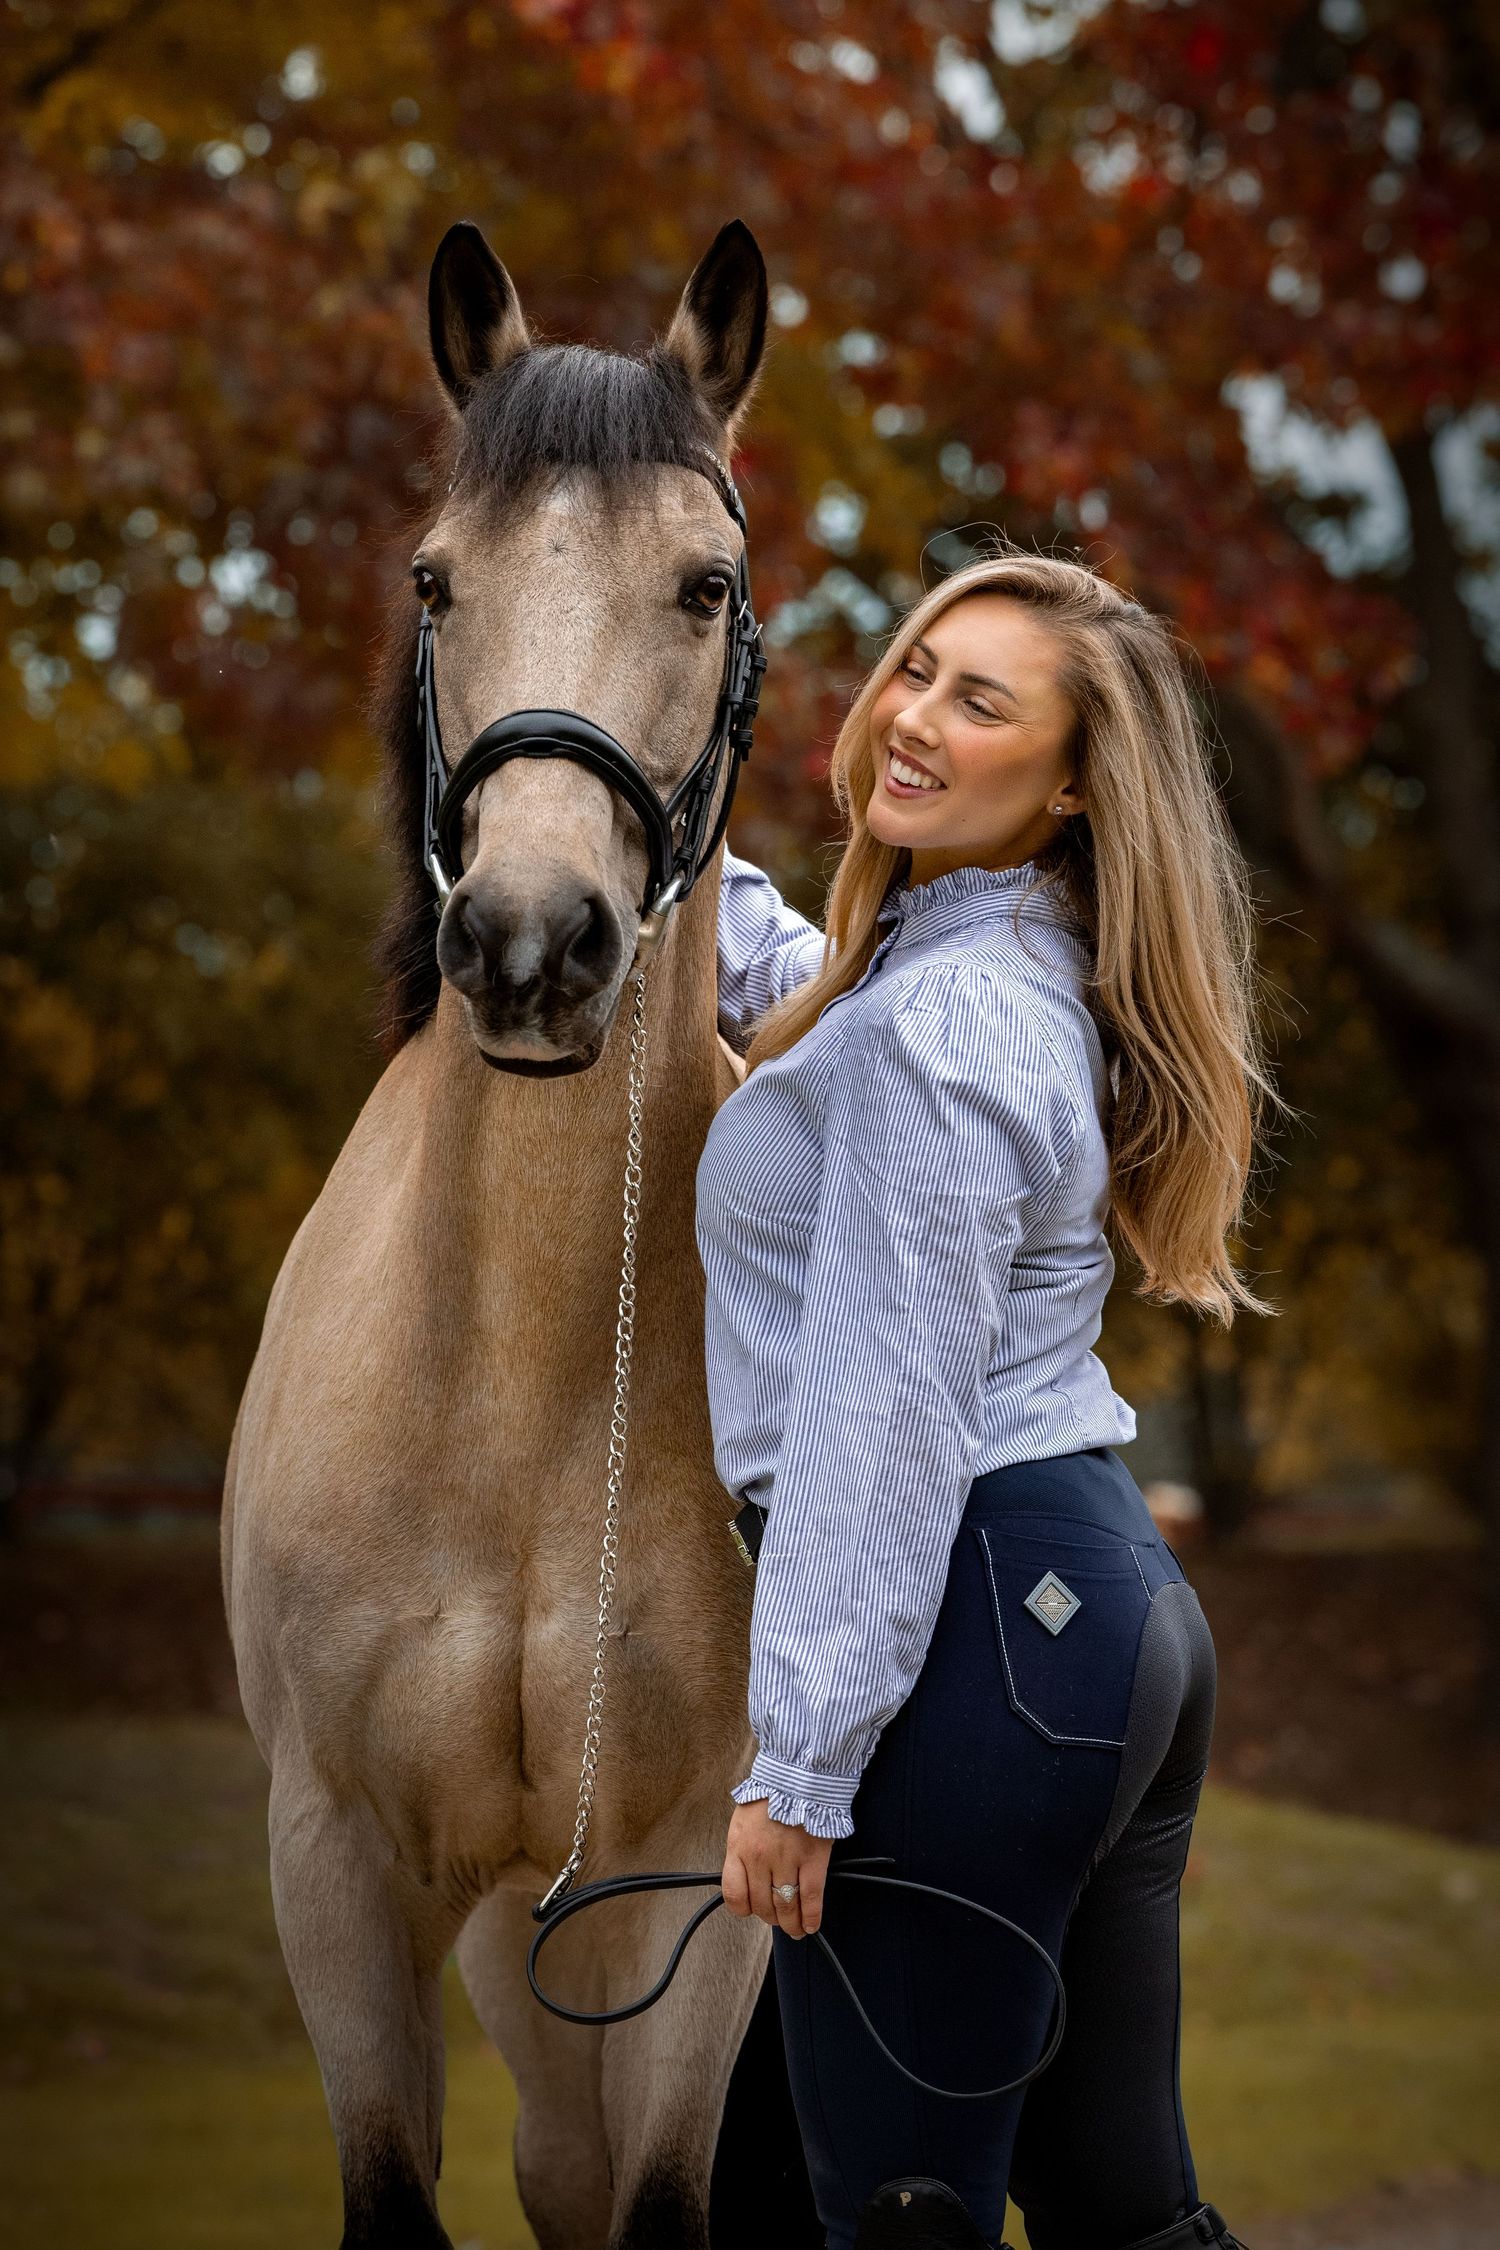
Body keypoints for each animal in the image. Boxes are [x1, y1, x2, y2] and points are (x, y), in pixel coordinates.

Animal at [221, 218, 815, 2250]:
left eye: (705, 585)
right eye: (434, 577)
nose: (532, 942)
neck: (516, 1389)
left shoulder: (694, 1888)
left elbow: (659, 2205)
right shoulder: (335, 1868)